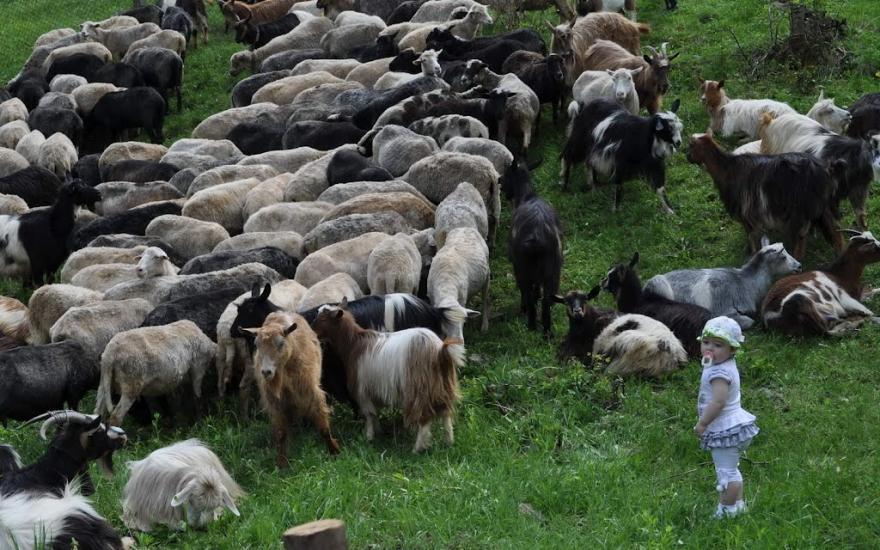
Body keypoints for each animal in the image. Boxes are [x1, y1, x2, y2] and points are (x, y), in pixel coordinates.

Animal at [242, 312, 340, 465]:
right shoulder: (275, 402)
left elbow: (323, 426)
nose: (266, 372)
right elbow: (281, 433)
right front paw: (282, 462)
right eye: (257, 345)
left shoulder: (311, 391)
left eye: (281, 343)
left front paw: (334, 450)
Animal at [312, 301, 464, 453]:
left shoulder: (362, 390)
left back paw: (418, 448)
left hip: (419, 389)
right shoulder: (372, 391)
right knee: (446, 413)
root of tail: (439, 351)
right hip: (444, 385)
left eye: (323, 319)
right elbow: (374, 414)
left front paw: (368, 437)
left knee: (425, 418)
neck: (353, 344)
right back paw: (448, 441)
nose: (313, 333)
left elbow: (369, 415)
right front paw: (378, 432)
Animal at [686, 132, 845, 258]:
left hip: (803, 207)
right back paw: (839, 253)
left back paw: (797, 257)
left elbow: (751, 235)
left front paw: (753, 254)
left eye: (691, 146)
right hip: (820, 205)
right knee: (834, 228)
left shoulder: (746, 212)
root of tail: (827, 169)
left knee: (802, 233)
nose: (687, 157)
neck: (728, 169)